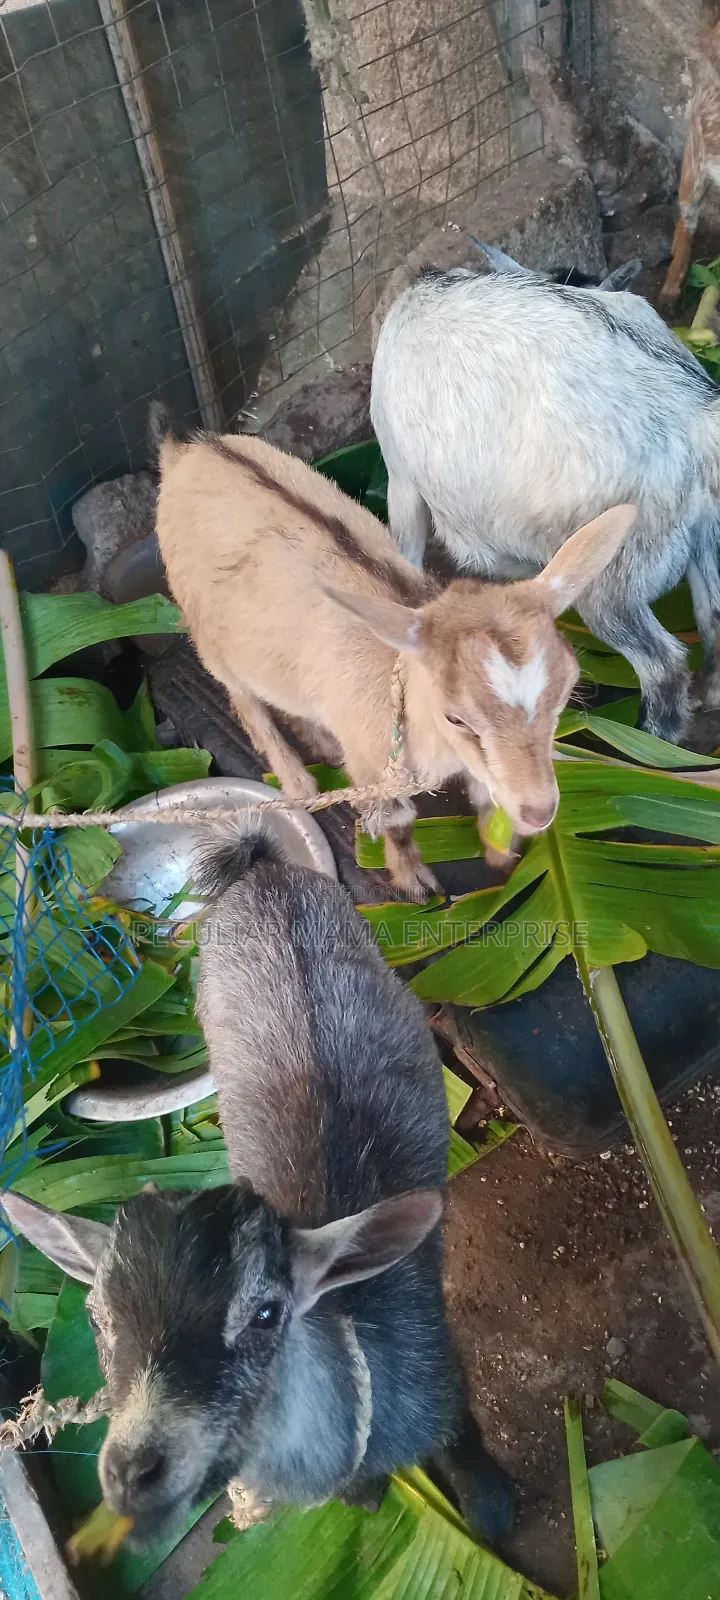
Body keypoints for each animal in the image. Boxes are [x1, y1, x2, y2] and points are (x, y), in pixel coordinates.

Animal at [2, 825, 515, 1548]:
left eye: (266, 1313)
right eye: (97, 1317)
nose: (135, 1473)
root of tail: (261, 870)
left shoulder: (438, 1378)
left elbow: (465, 1442)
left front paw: (493, 1512)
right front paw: (367, 1497)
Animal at [144, 404, 634, 899]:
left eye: (566, 692)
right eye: (455, 717)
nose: (540, 812)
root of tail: (189, 448)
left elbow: (484, 791)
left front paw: (501, 852)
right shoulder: (372, 767)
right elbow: (397, 821)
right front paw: (414, 882)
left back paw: (321, 739)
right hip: (206, 633)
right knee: (244, 699)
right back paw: (298, 780)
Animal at [371, 265, 720, 743]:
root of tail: (694, 417)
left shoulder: (400, 478)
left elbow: (404, 555)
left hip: (611, 575)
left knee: (662, 664)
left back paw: (644, 739)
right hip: (704, 535)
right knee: (714, 621)